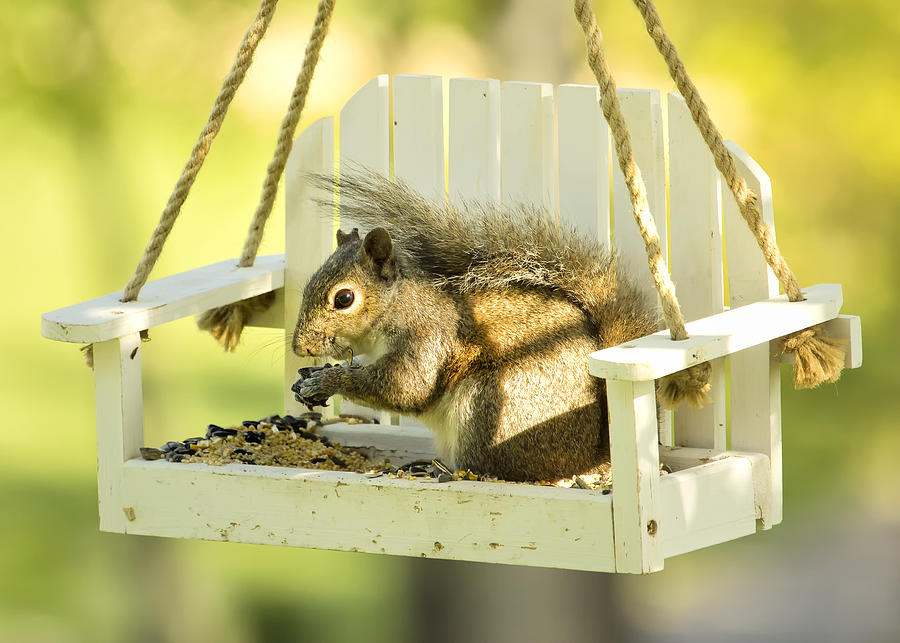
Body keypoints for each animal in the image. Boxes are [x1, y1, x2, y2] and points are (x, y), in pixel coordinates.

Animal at [292, 174, 656, 480]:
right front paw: (311, 377)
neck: (397, 306)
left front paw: (326, 381)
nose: (300, 347)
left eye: (344, 298)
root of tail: (590, 456)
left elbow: (406, 387)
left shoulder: (426, 335)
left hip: (488, 410)